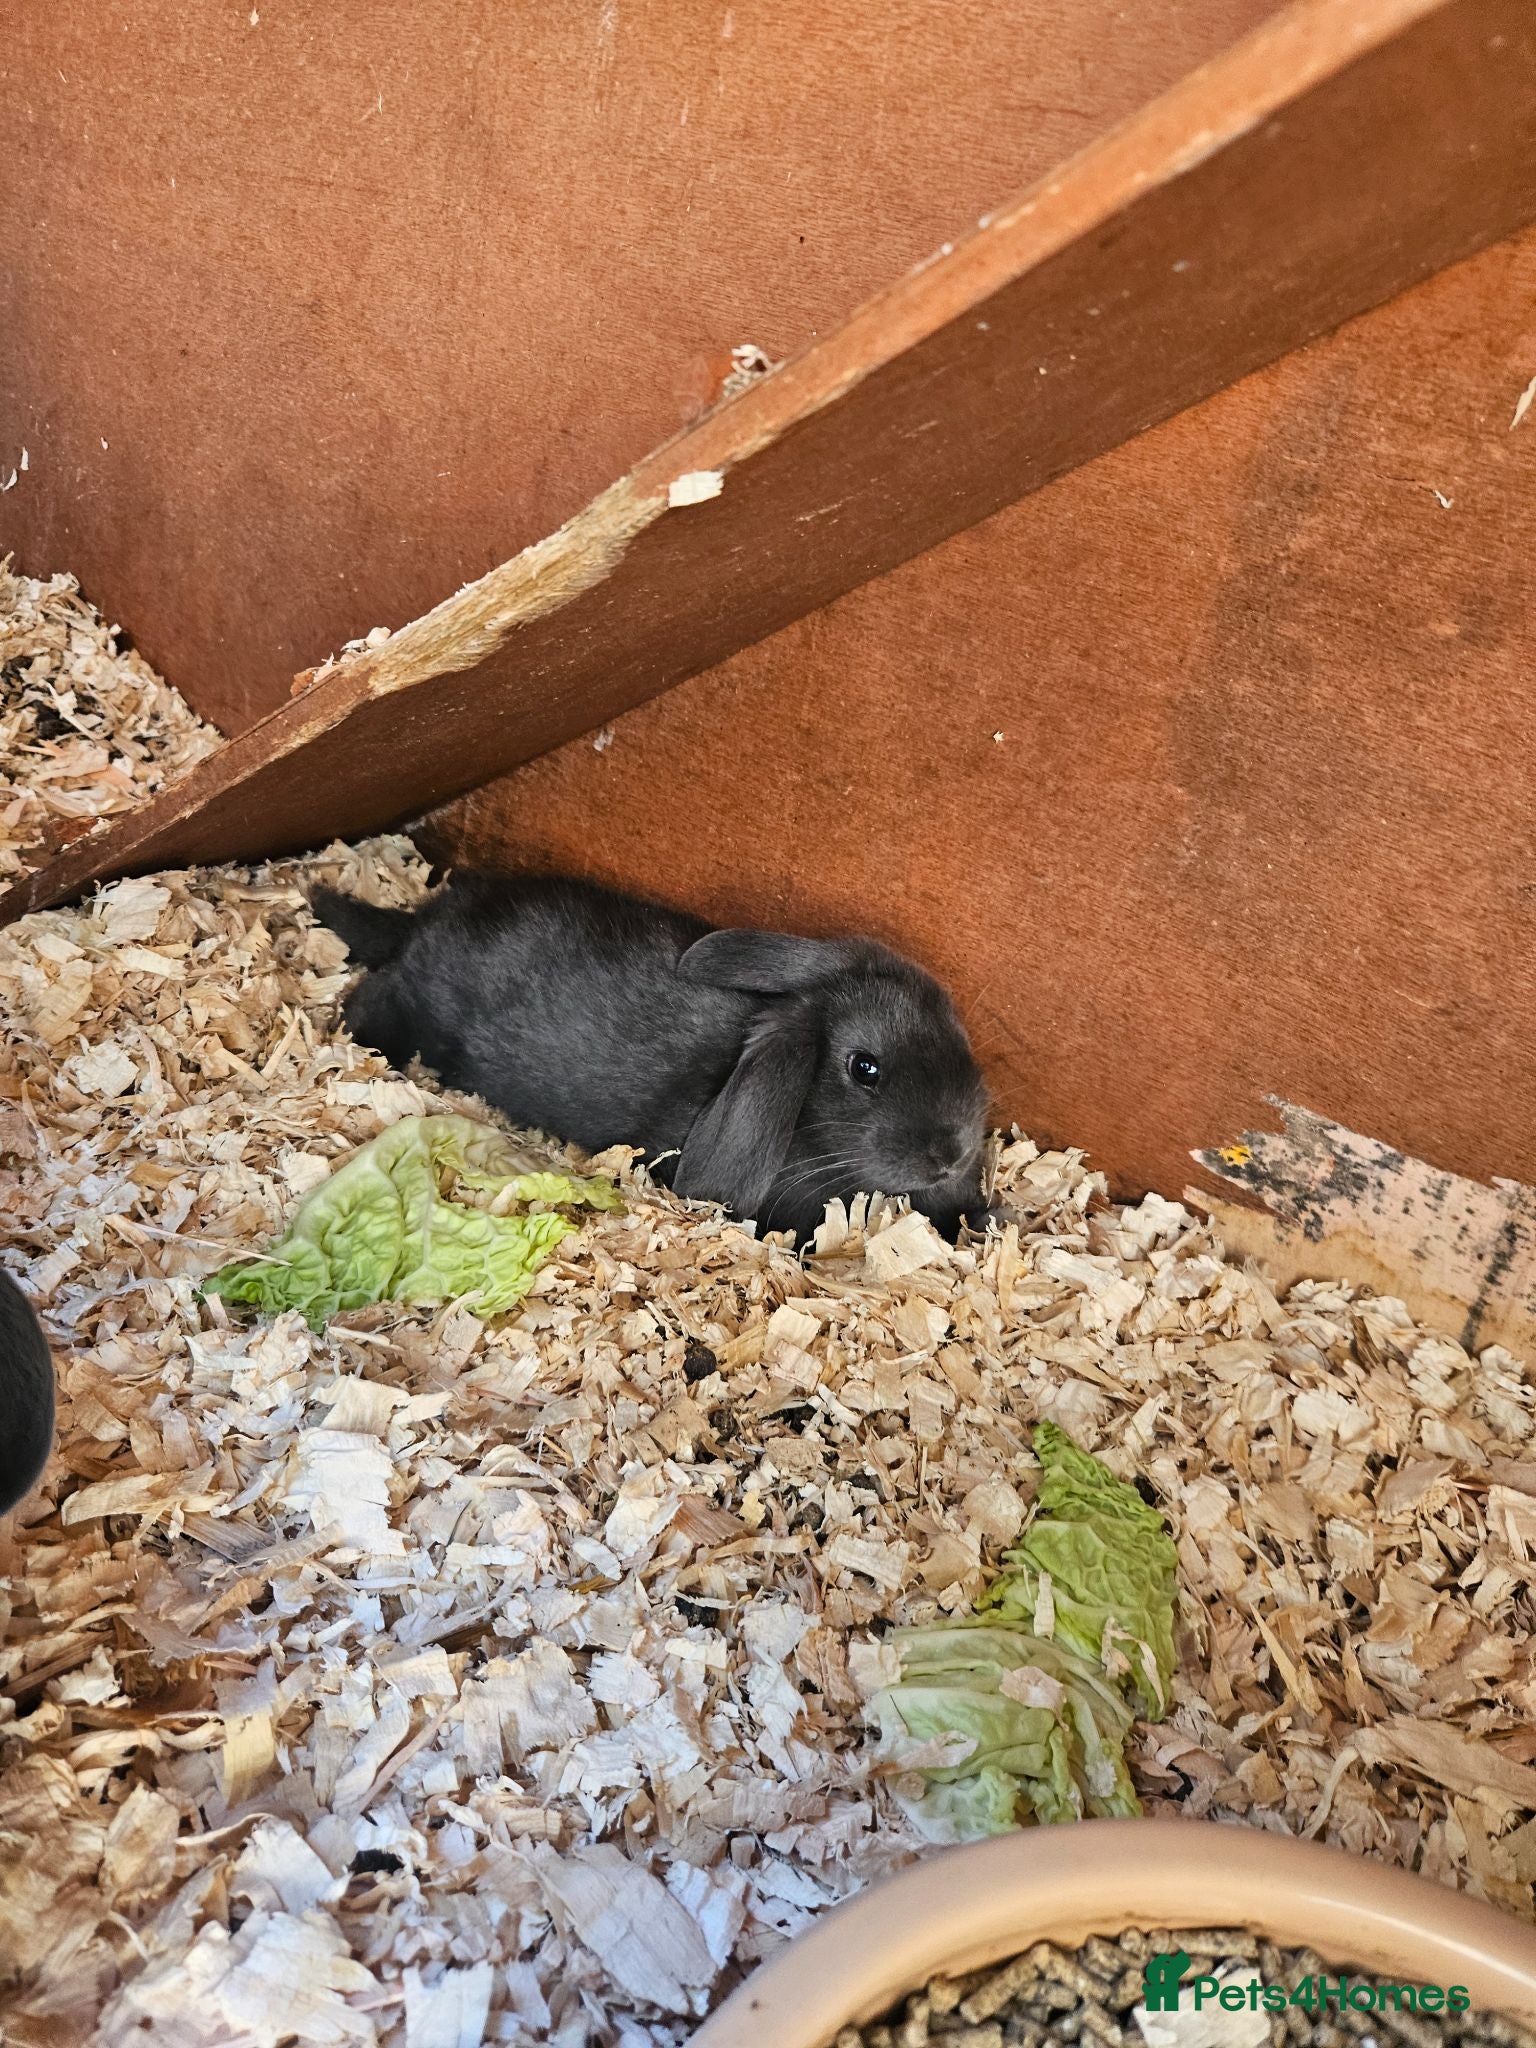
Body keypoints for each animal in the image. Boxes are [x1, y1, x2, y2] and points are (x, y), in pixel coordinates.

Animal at [310, 871, 992, 1244]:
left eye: (958, 1031)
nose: (952, 1155)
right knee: (372, 999)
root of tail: (422, 923)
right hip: (415, 1005)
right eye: (863, 1068)